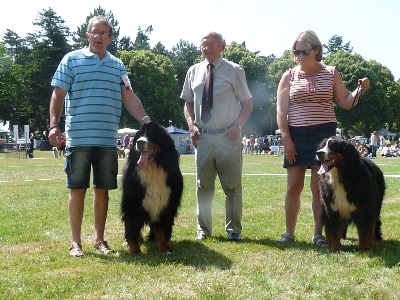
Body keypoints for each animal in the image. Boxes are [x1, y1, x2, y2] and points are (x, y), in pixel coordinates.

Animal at [121, 121, 184, 253]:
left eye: (152, 134)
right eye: (139, 135)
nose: (139, 142)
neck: (152, 168)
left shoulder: (166, 204)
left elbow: (164, 229)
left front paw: (165, 249)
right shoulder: (133, 204)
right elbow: (132, 228)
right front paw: (134, 250)